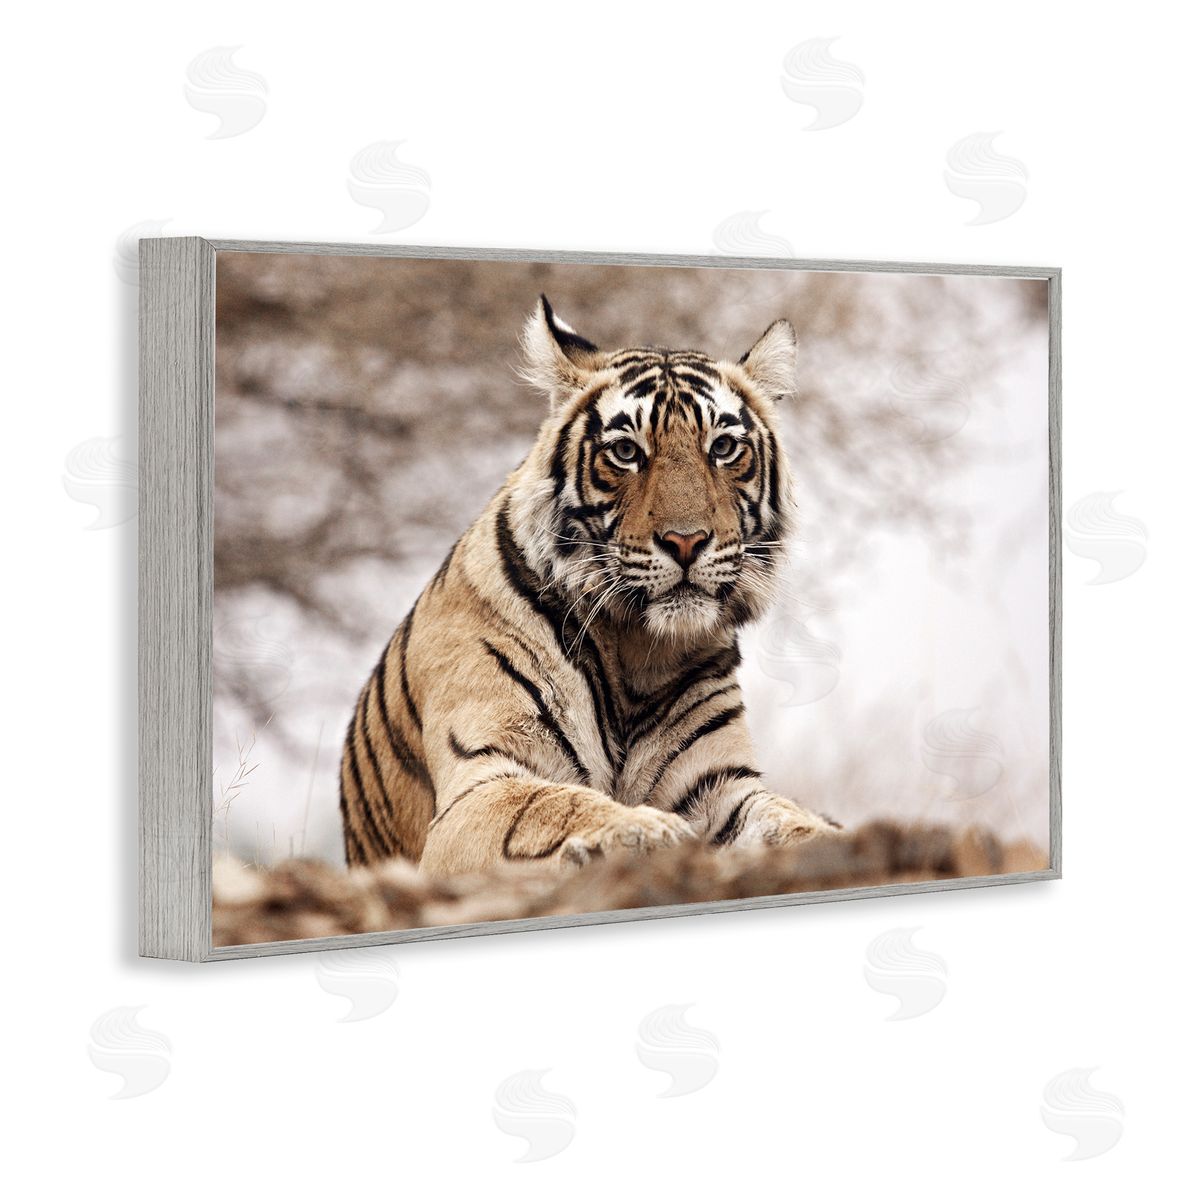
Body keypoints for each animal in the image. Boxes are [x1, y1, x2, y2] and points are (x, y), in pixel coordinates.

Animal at [338, 295, 839, 875]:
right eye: (625, 452)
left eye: (723, 447)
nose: (686, 541)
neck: (638, 651)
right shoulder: (482, 781)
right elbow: (553, 805)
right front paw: (645, 829)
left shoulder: (720, 785)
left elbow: (787, 819)